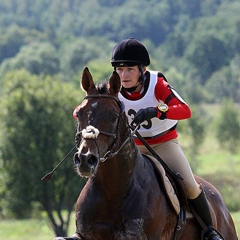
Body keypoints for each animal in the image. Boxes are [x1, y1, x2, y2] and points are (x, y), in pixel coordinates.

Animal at [54, 67, 236, 240]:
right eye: (78, 114)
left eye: (114, 116)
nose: (85, 159)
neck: (112, 189)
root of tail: (220, 201)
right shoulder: (86, 234)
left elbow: (184, 108)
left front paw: (146, 113)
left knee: (193, 190)